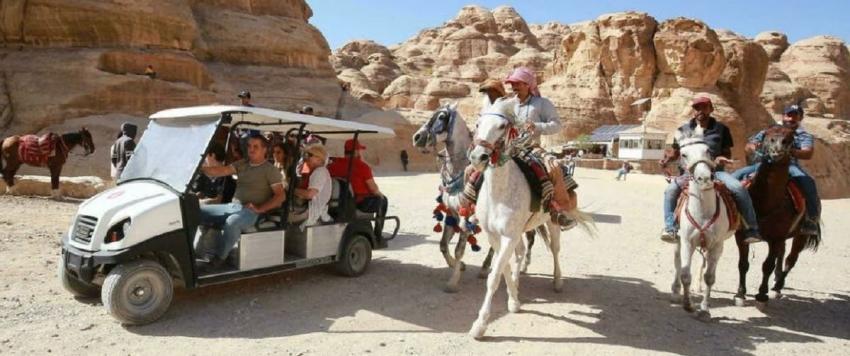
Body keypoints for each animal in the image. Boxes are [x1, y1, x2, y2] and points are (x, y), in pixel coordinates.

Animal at [668, 133, 736, 320]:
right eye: (683, 154)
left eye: (708, 150)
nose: (704, 178)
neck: (703, 210)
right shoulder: (686, 242)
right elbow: (684, 273)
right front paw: (688, 304)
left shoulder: (717, 245)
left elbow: (710, 277)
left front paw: (704, 308)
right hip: (678, 240)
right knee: (677, 261)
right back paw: (675, 292)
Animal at [732, 126, 820, 306]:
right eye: (767, 135)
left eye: (790, 138)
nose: (778, 149)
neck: (765, 203)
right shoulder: (741, 236)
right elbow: (743, 264)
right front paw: (740, 294)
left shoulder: (776, 239)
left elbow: (767, 265)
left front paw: (761, 294)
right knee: (783, 255)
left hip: (800, 236)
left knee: (790, 260)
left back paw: (777, 286)